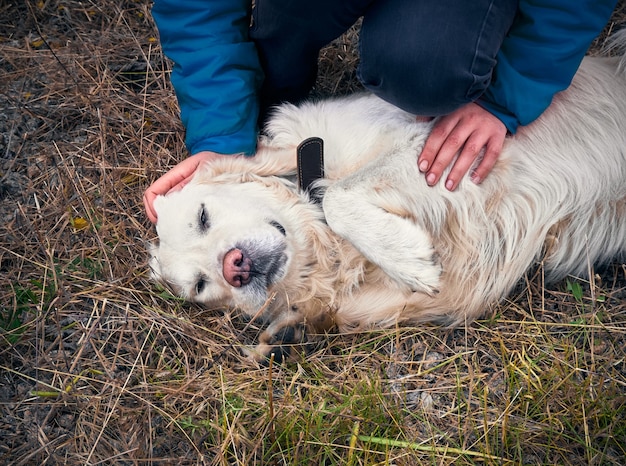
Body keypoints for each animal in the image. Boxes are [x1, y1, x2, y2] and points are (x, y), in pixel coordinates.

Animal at [150, 38, 624, 360]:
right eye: (200, 286)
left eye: (203, 216)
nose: (236, 268)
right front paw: (288, 331)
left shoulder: (440, 144)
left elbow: (340, 197)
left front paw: (407, 257)